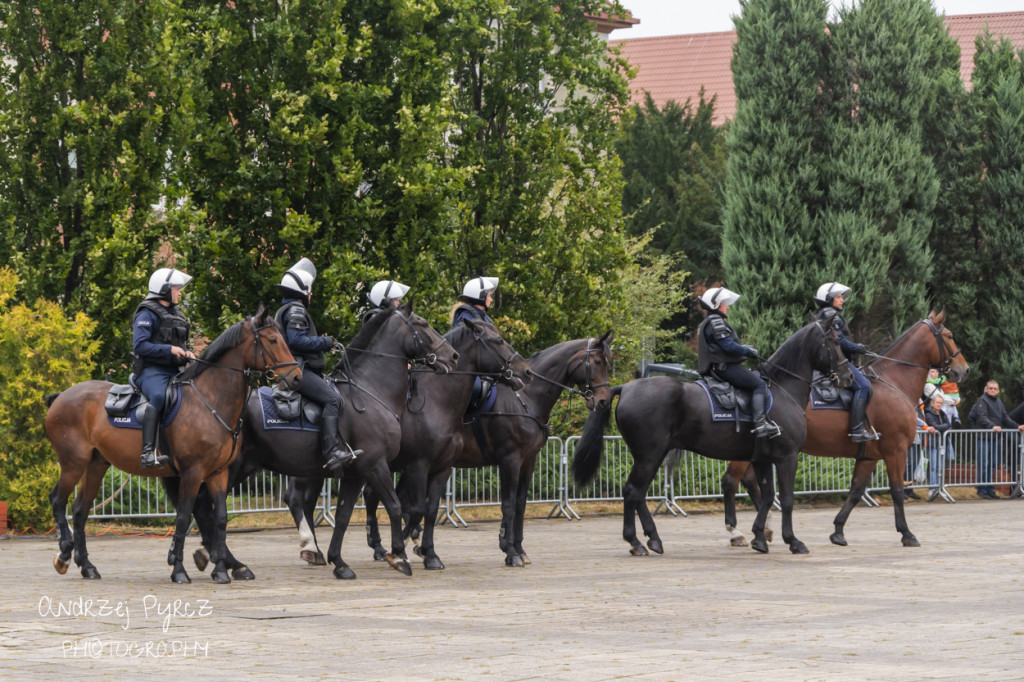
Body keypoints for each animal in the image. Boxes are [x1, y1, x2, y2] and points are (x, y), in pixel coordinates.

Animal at [44, 305, 299, 581]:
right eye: (272, 340)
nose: (297, 377)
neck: (210, 400)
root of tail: (61, 396)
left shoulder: (218, 473)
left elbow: (220, 518)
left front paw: (220, 570)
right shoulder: (192, 472)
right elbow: (184, 518)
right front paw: (178, 569)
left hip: (96, 465)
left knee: (80, 511)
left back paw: (87, 566)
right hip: (73, 463)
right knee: (57, 500)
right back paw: (64, 552)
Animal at [364, 329, 610, 569]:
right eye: (598, 361)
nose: (604, 402)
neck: (525, 397)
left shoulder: (528, 461)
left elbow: (520, 504)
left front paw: (520, 549)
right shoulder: (510, 460)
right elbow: (508, 505)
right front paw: (509, 550)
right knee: (376, 496)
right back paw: (383, 546)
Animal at [573, 319, 851, 552]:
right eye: (835, 342)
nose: (847, 376)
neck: (781, 389)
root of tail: (627, 387)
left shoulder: (762, 459)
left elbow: (767, 497)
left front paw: (759, 537)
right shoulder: (787, 457)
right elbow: (787, 499)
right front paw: (792, 540)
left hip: (653, 455)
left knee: (638, 493)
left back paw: (653, 538)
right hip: (649, 456)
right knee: (632, 491)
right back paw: (636, 542)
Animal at [716, 311, 970, 544]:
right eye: (949, 335)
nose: (965, 369)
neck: (893, 381)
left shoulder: (869, 456)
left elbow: (856, 492)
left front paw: (838, 530)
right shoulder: (896, 450)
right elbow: (897, 491)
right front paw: (906, 533)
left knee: (750, 483)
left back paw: (763, 529)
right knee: (731, 481)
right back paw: (737, 531)